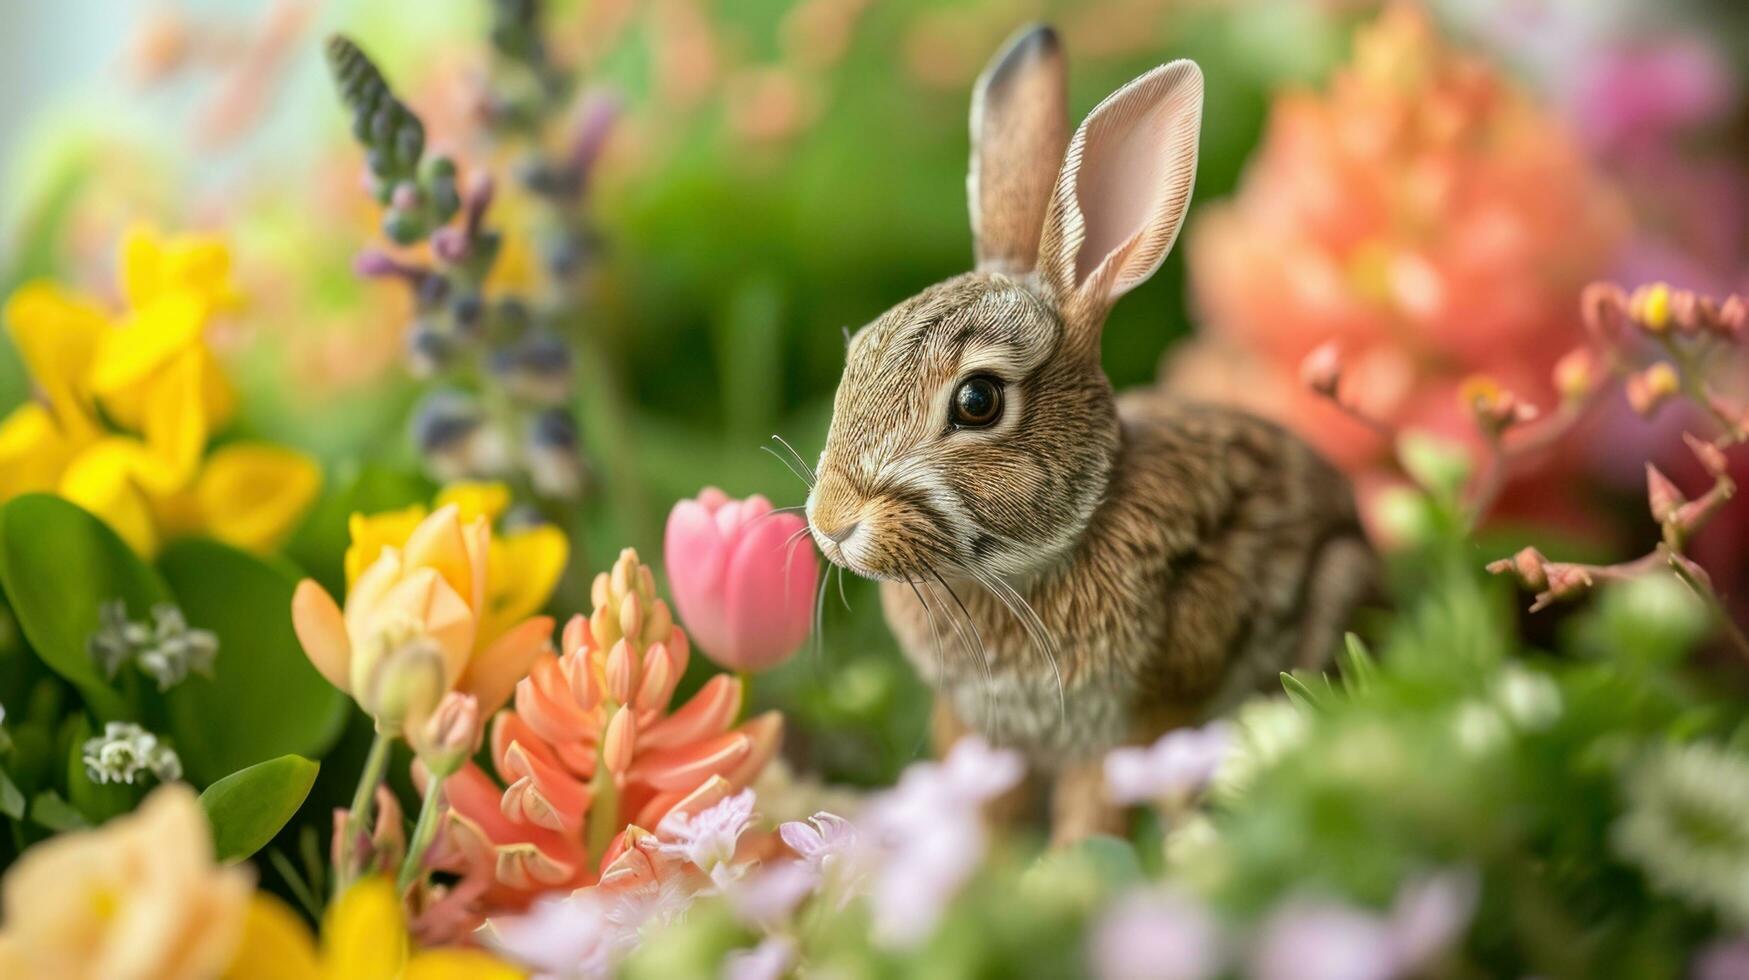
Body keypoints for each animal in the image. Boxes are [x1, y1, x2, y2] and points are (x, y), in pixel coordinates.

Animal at [804, 24, 1378, 843]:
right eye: (857, 356)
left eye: (977, 401)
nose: (830, 523)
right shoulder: (978, 730)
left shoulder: (1130, 725)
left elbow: (1095, 811)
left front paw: (1063, 862)